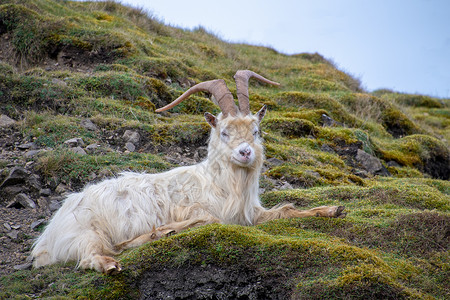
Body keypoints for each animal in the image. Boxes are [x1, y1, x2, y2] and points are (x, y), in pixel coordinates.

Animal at [31, 70, 346, 274]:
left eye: (256, 130)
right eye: (224, 132)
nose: (246, 152)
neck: (220, 184)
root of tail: (46, 239)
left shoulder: (251, 214)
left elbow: (286, 211)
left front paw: (333, 209)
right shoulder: (195, 208)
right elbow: (211, 220)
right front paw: (167, 230)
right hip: (86, 233)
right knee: (91, 257)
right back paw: (120, 260)